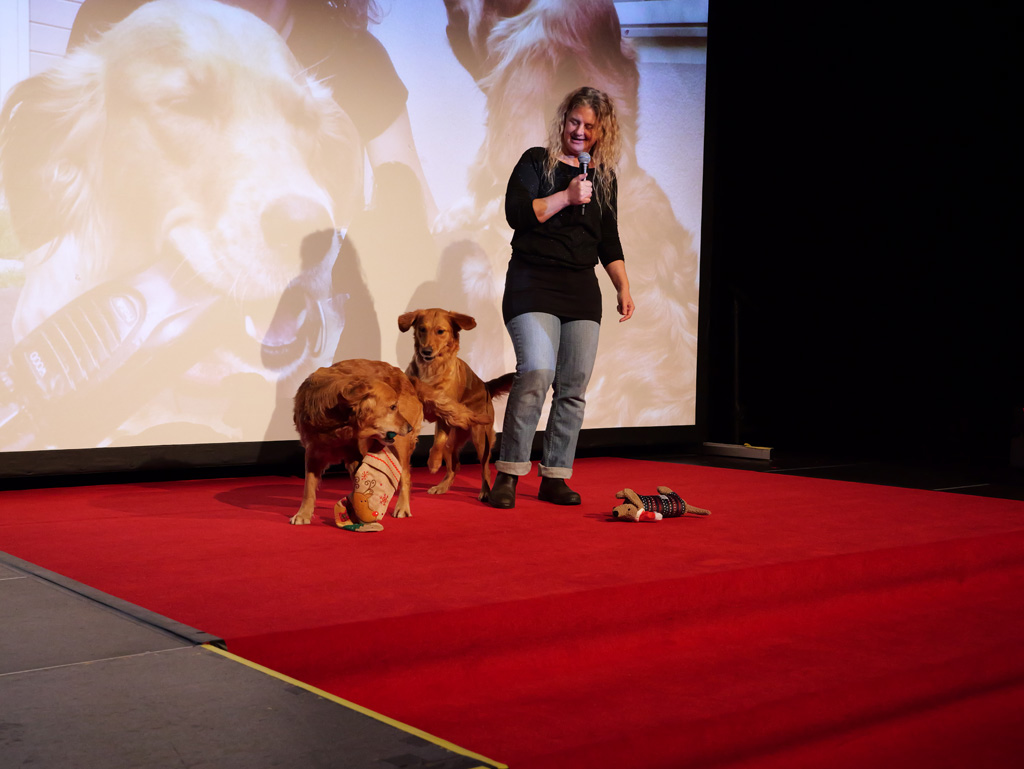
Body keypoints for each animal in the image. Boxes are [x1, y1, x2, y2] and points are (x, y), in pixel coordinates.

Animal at [290, 359, 423, 525]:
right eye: (392, 407)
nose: (409, 428)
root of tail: (406, 378)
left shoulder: (355, 455)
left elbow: (358, 484)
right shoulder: (313, 452)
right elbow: (308, 486)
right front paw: (303, 514)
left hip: (400, 445)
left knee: (405, 476)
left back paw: (403, 507)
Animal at [399, 308, 514, 500]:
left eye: (440, 331)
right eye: (422, 329)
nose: (426, 351)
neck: (431, 368)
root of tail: (485, 385)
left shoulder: (444, 412)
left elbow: (438, 441)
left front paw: (433, 462)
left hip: (481, 439)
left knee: (485, 469)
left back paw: (485, 491)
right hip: (453, 442)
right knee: (454, 467)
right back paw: (442, 486)